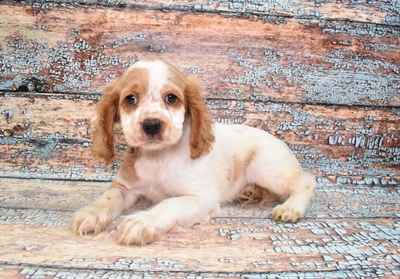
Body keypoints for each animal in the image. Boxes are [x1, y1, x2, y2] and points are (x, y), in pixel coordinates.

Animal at [70, 59, 318, 245]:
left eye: (171, 98)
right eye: (130, 99)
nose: (151, 125)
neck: (157, 157)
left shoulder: (201, 198)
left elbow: (169, 204)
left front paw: (142, 221)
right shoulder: (125, 187)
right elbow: (109, 197)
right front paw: (91, 213)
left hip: (264, 165)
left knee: (306, 181)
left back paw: (290, 208)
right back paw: (253, 194)